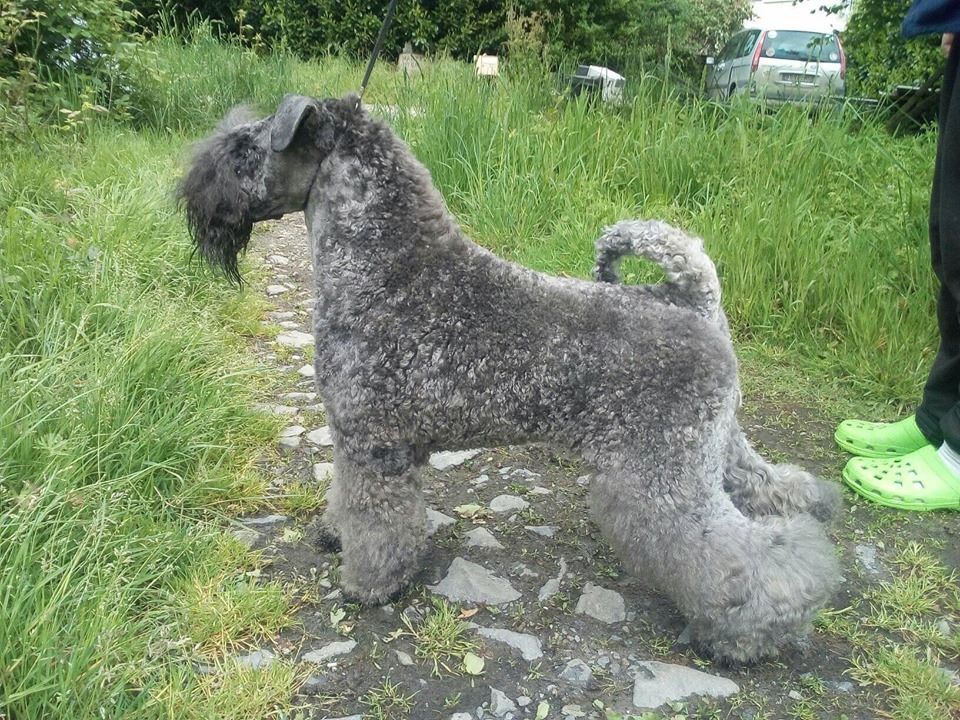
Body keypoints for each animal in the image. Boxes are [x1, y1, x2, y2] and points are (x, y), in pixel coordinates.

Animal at [180, 95, 840, 664]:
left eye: (244, 148)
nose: (191, 191)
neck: (386, 270)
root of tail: (692, 299)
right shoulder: (354, 442)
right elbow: (344, 498)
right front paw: (332, 533)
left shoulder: (374, 446)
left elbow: (379, 524)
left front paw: (367, 585)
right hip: (714, 445)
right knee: (772, 491)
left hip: (660, 474)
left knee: (740, 555)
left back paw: (747, 637)